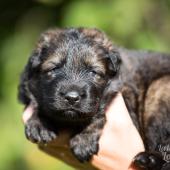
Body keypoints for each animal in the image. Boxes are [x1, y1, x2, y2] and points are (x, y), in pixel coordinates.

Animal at [17, 27, 169, 169]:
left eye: (93, 72)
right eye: (54, 69)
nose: (72, 98)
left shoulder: (125, 93)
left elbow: (97, 112)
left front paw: (83, 139)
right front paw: (40, 124)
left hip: (160, 89)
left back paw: (149, 159)